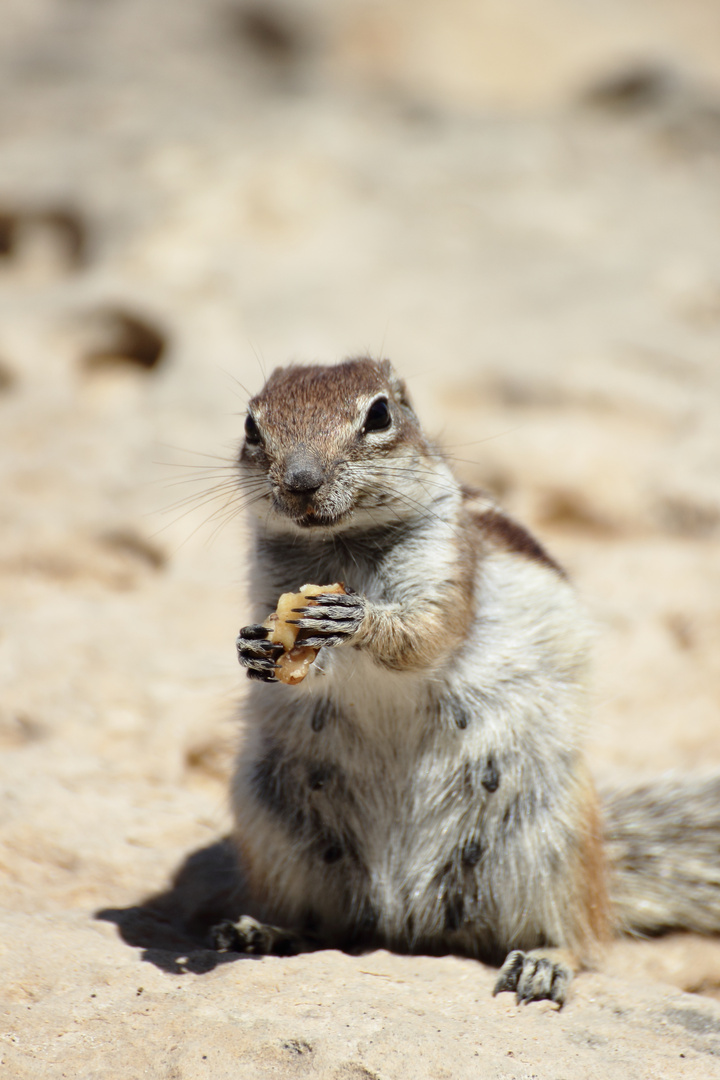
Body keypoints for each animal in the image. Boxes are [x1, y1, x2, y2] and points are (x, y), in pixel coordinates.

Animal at [211, 354, 720, 1002]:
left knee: (580, 935)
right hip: (271, 822)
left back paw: (542, 963)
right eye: (252, 425)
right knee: (324, 924)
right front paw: (254, 648)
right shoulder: (269, 577)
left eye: (379, 415)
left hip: (551, 840)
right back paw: (265, 930)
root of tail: (407, 917)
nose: (301, 480)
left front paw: (358, 620)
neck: (338, 543)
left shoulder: (449, 565)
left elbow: (427, 634)